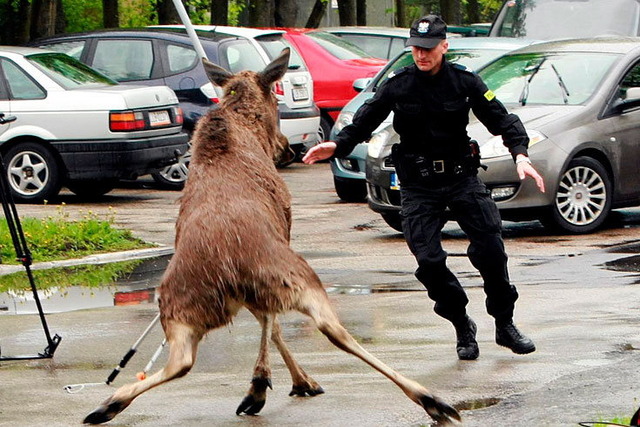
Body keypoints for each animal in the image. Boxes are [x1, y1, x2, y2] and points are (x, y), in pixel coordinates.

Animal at [83, 48, 461, 426]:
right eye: (276, 102)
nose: (287, 148)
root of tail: (226, 270)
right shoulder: (286, 229)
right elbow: (274, 324)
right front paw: (279, 383)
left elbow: (270, 325)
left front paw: (267, 384)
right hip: (296, 277)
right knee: (333, 330)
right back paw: (431, 399)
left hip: (181, 308)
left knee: (182, 360)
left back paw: (108, 404)